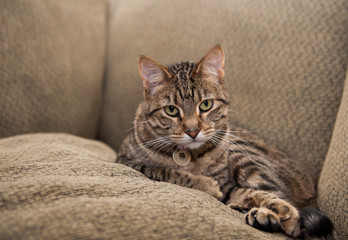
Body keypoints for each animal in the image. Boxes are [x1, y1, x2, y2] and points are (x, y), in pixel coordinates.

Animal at [117, 45, 338, 240]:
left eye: (206, 105)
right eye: (171, 110)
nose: (192, 131)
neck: (190, 157)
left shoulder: (227, 182)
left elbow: (254, 193)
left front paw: (279, 209)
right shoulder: (128, 161)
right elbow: (166, 171)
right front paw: (204, 184)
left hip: (241, 152)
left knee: (280, 196)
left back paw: (266, 216)